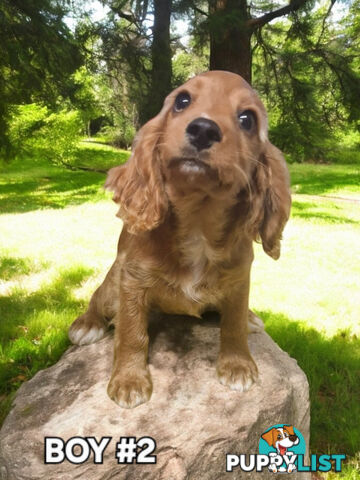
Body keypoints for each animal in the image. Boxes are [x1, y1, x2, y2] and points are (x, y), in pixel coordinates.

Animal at [69, 71, 292, 408]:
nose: (203, 129)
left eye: (247, 119)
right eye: (182, 101)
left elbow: (233, 322)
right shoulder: (132, 281)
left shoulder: (240, 279)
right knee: (98, 298)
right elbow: (131, 332)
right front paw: (129, 380)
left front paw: (238, 365)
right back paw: (87, 324)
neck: (198, 219)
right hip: (111, 285)